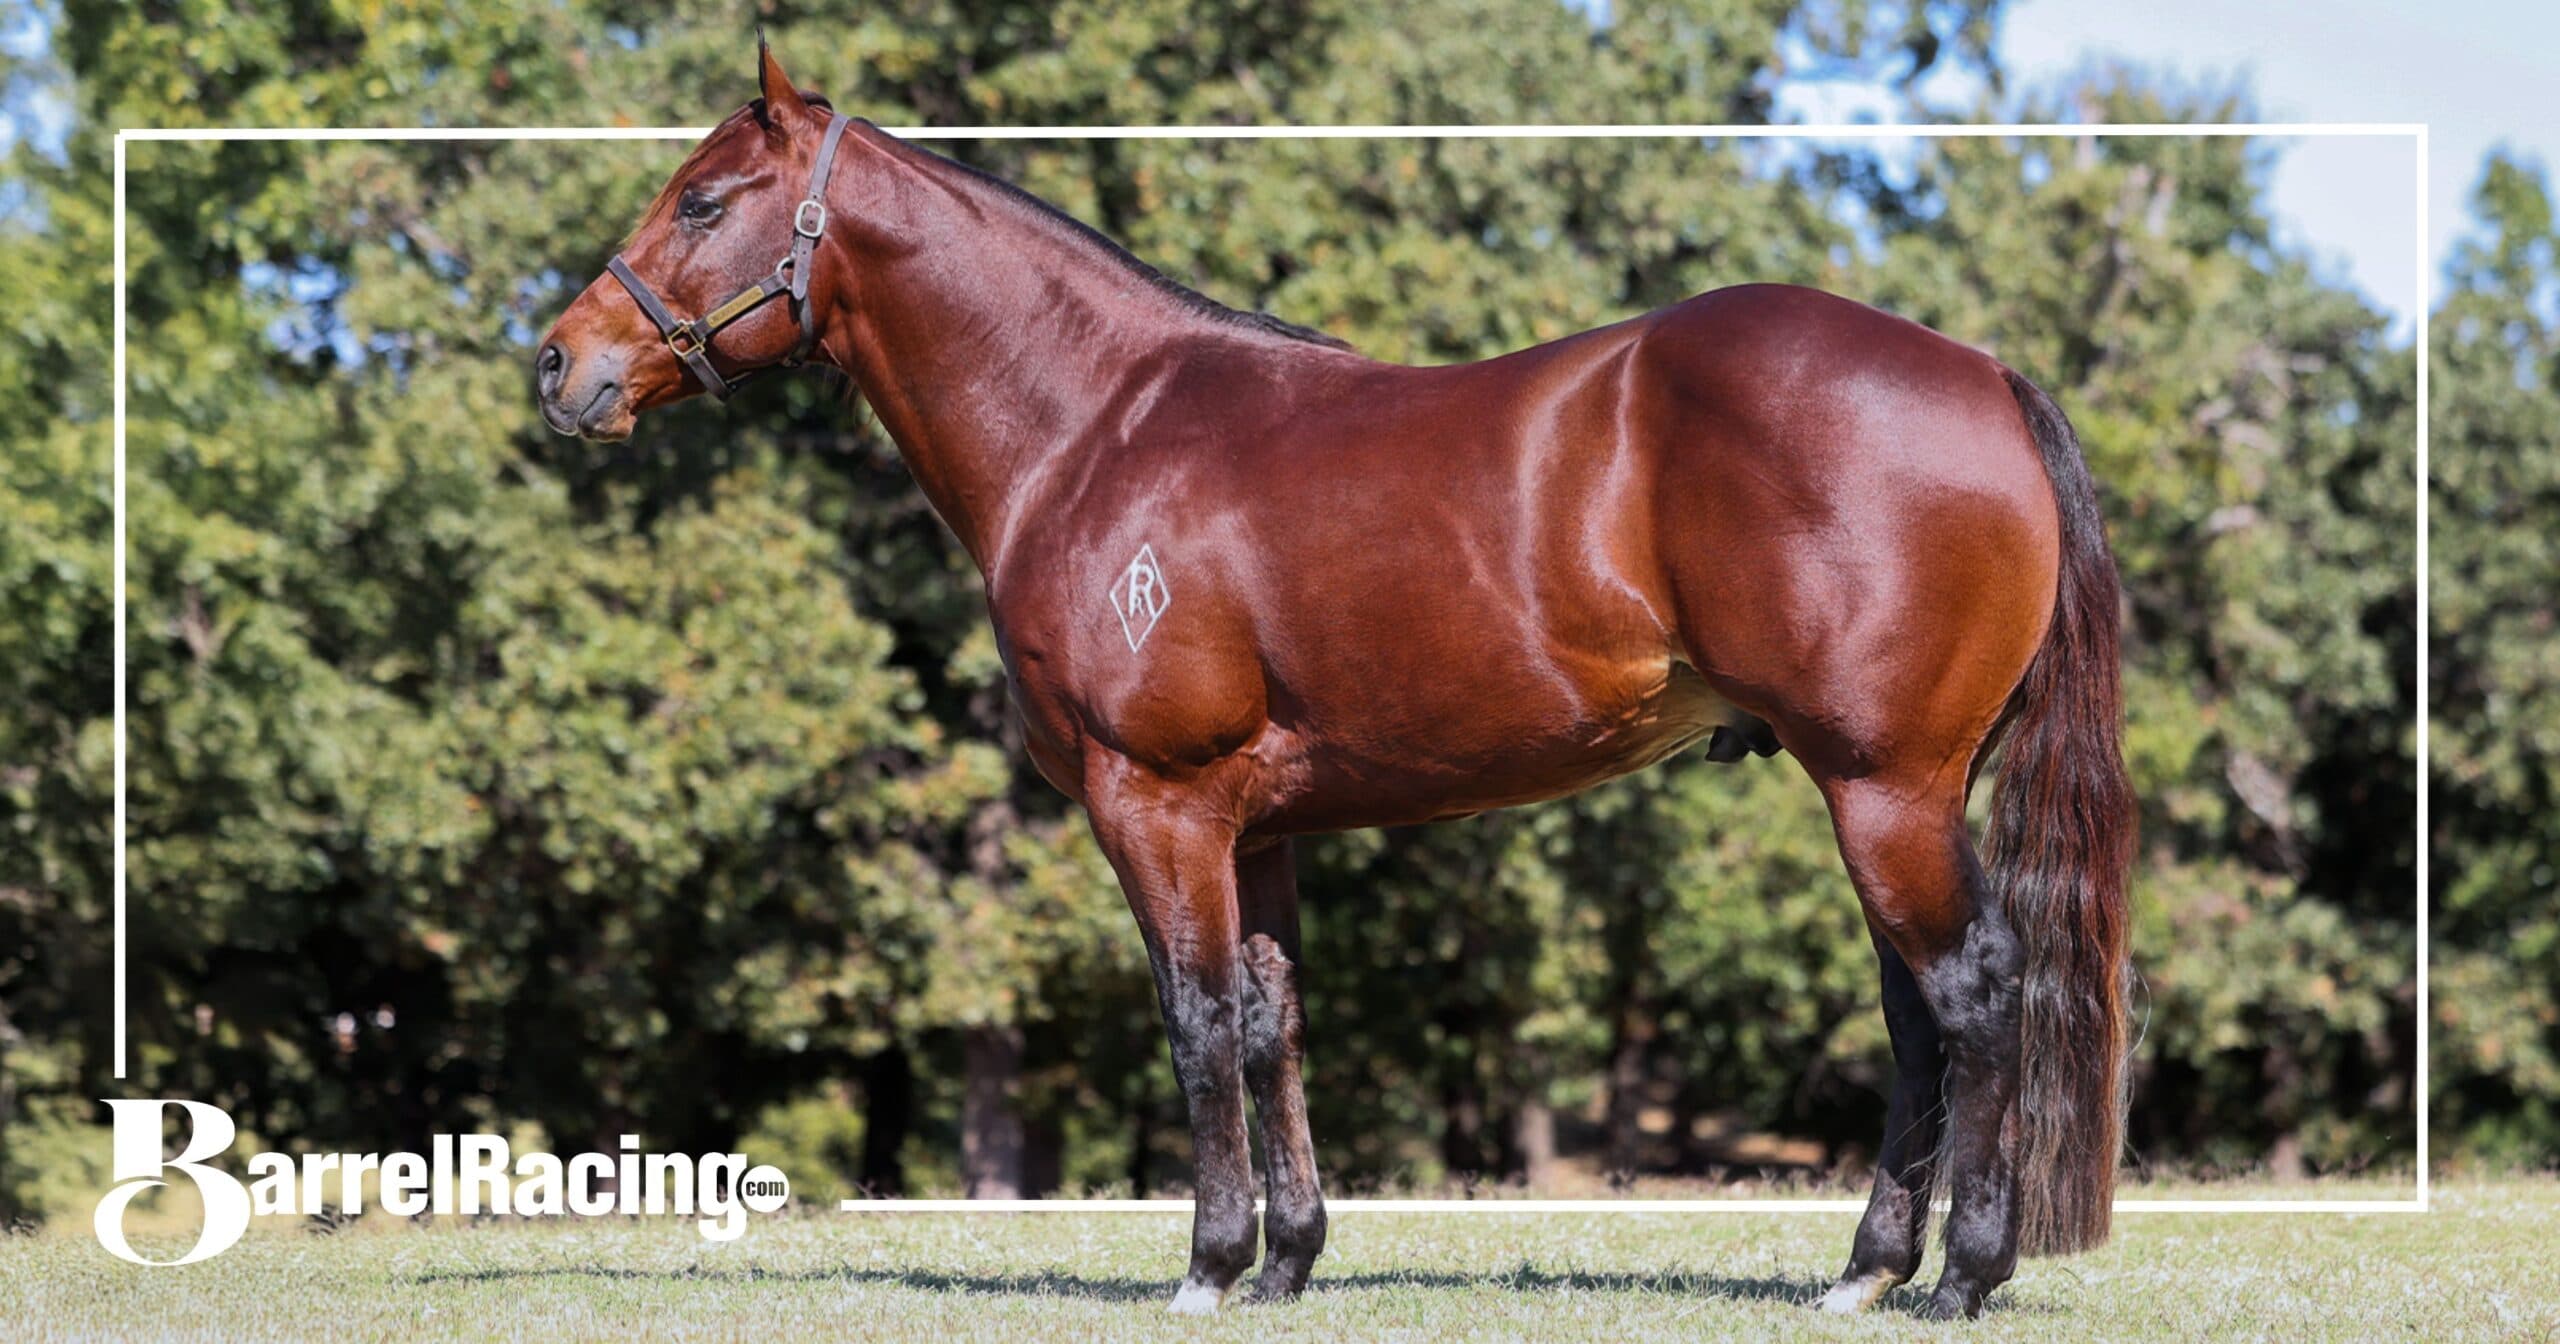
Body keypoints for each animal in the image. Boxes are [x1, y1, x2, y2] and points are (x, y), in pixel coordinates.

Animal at [536, 43, 2134, 1321]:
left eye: (699, 200)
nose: (558, 365)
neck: (1095, 429)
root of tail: (1982, 375)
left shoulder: (1156, 804)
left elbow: (1194, 1024)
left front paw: (1205, 1267)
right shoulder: (1258, 828)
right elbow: (1270, 1025)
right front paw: (1289, 1263)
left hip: (1883, 788)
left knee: (1973, 994)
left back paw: (1960, 1279)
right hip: (1896, 794)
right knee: (1919, 1015)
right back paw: (1867, 1272)